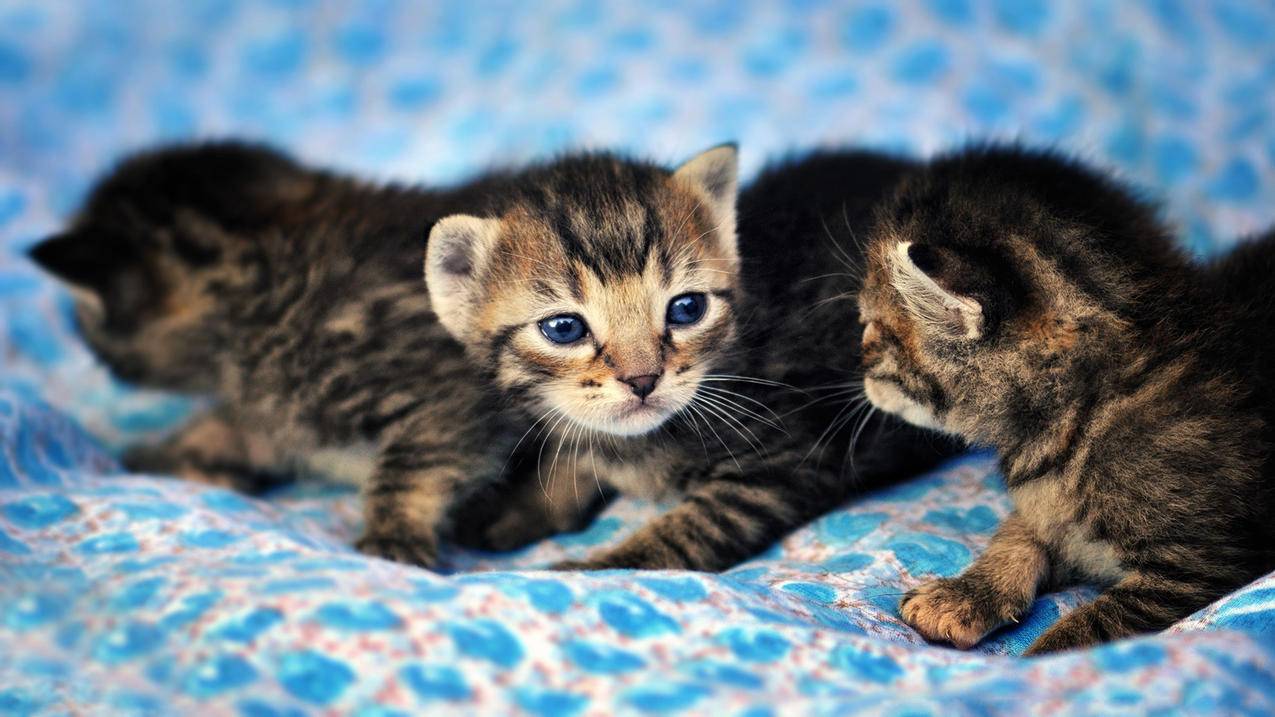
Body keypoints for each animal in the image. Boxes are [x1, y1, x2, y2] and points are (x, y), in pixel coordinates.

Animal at [856, 145, 1275, 653]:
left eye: (875, 327)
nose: (859, 354)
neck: (1078, 415)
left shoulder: (1202, 563)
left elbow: (1097, 626)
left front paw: (1038, 659)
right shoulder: (1047, 508)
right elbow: (1021, 531)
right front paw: (966, 595)